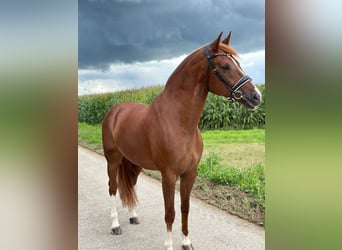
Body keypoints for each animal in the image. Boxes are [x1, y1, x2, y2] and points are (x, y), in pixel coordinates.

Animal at [101, 32, 262, 249]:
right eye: (225, 66)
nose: (256, 96)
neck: (179, 123)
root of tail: (115, 111)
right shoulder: (168, 175)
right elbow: (170, 212)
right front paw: (169, 244)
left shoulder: (190, 173)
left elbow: (185, 208)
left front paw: (186, 241)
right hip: (113, 159)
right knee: (113, 187)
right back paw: (115, 225)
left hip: (135, 162)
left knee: (130, 184)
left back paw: (133, 216)